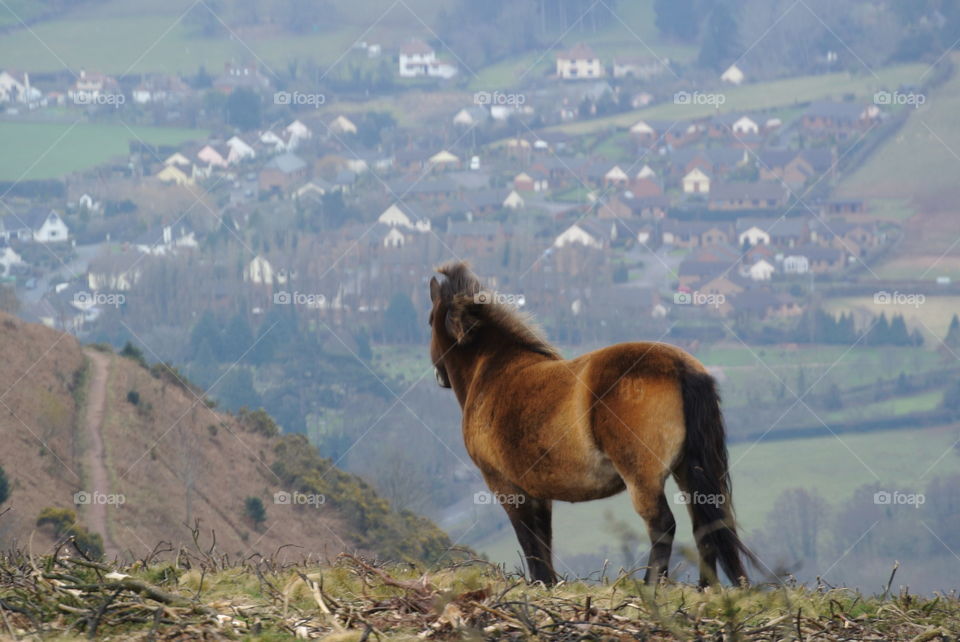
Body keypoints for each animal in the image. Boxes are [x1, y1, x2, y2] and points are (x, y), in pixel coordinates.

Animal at [428, 262, 756, 587]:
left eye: (430, 320)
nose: (439, 376)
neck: (494, 371)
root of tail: (681, 368)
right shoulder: (539, 493)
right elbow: (543, 542)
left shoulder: (507, 486)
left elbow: (530, 543)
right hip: (687, 470)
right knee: (705, 526)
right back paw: (706, 588)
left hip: (642, 479)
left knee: (662, 526)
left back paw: (651, 585)